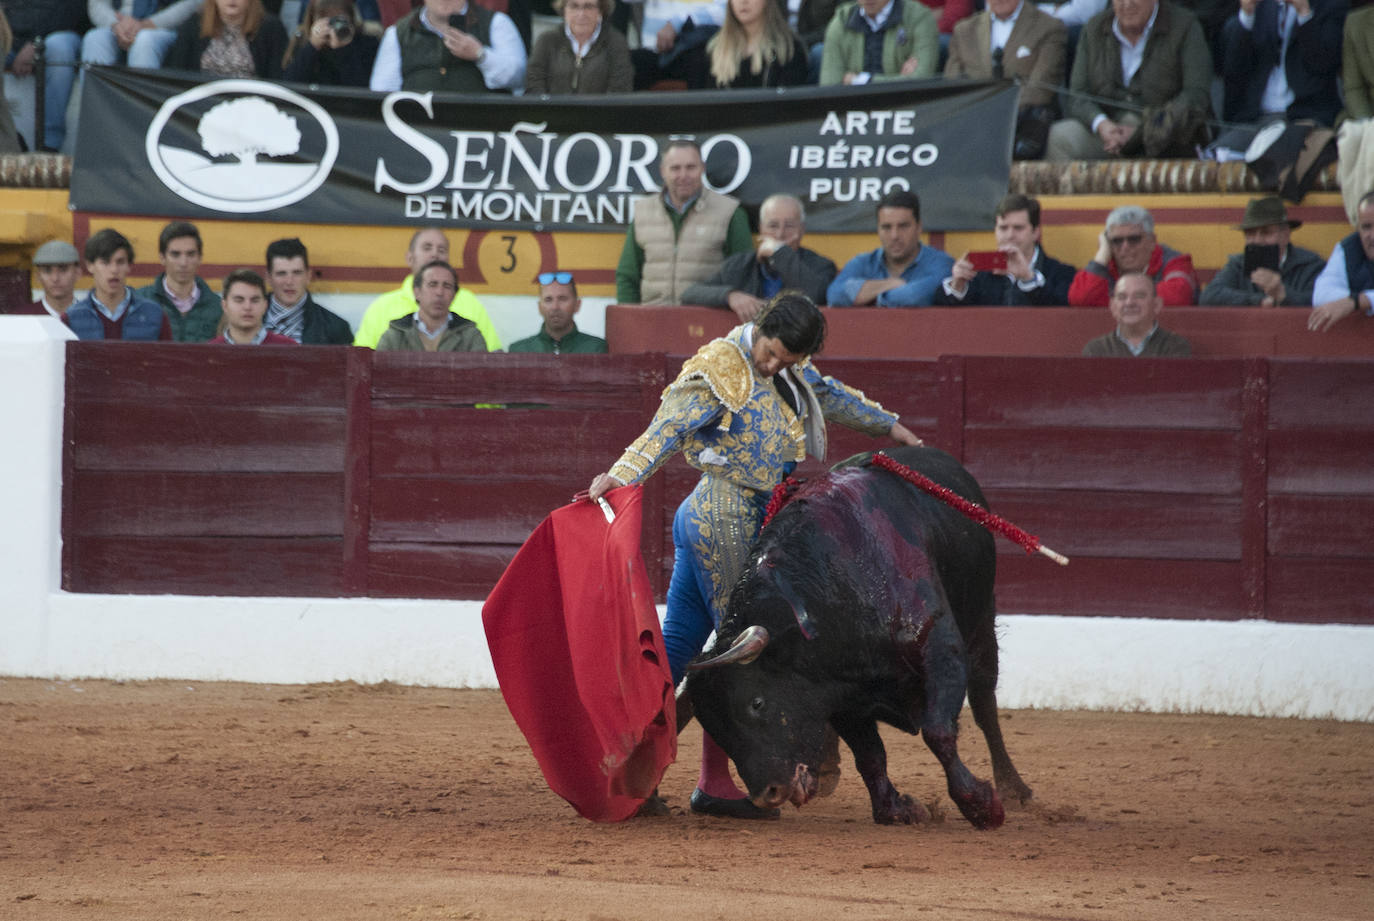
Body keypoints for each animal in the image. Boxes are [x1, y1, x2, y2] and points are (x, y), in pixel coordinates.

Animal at [687, 445, 1033, 830]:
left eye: (757, 703)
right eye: (713, 726)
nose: (768, 795)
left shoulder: (943, 654)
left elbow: (939, 732)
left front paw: (982, 806)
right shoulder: (841, 697)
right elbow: (870, 756)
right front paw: (896, 809)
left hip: (983, 623)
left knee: (985, 704)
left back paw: (1013, 788)